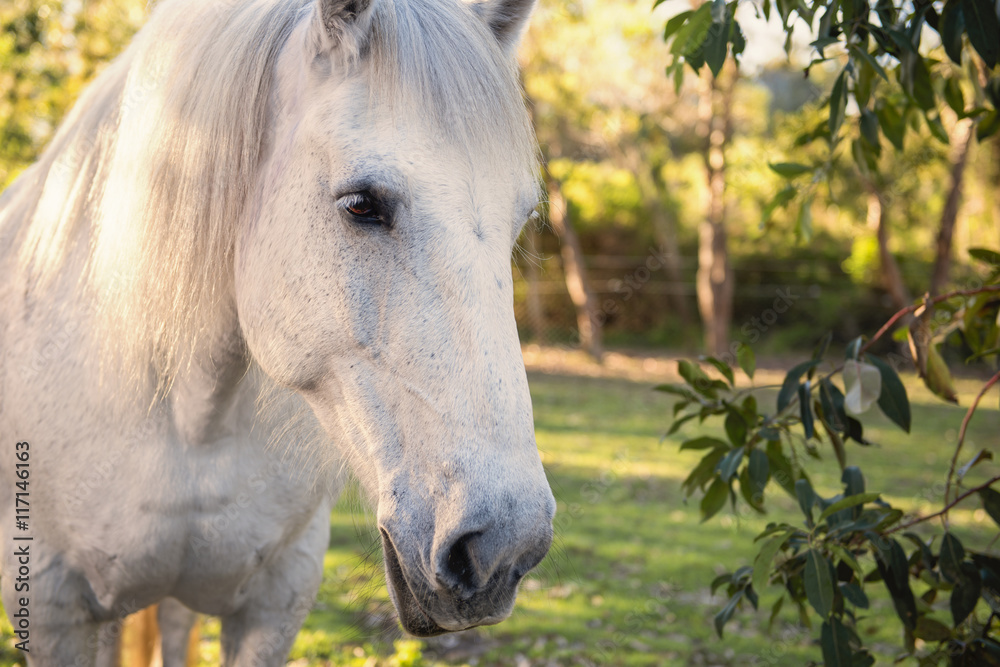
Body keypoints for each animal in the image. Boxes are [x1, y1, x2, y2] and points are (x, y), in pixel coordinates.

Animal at [0, 0, 555, 663]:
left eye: (521, 218)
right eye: (361, 204)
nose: (503, 548)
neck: (192, 426)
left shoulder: (278, 599)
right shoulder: (55, 609)